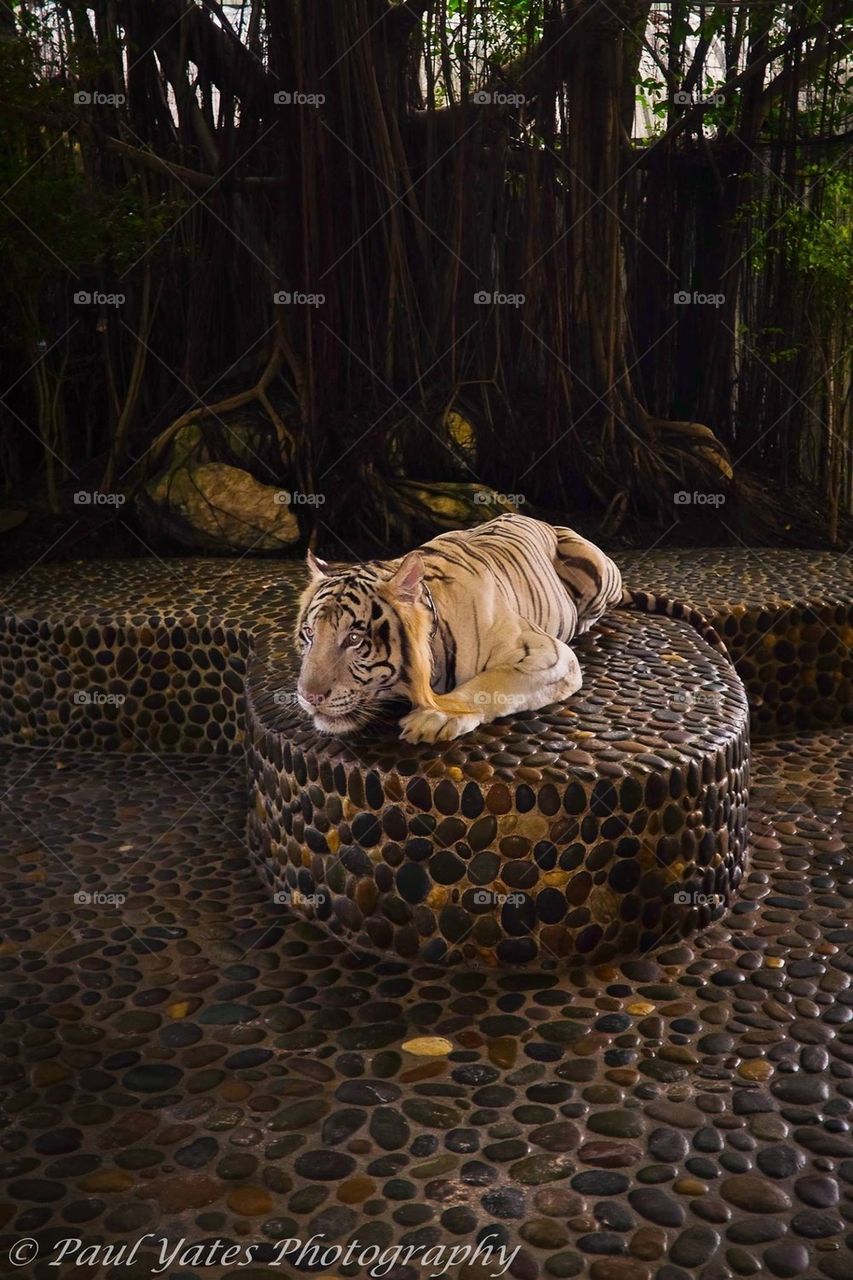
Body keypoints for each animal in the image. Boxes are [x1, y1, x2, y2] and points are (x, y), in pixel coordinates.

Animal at [294, 513, 729, 744]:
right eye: (309, 635)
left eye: (354, 639)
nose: (309, 697)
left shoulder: (546, 654)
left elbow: (490, 685)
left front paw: (435, 717)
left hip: (594, 567)